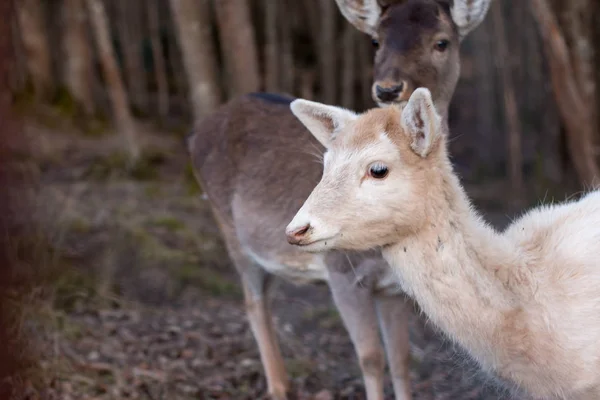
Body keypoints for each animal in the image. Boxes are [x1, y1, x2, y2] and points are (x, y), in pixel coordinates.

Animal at [189, 1, 492, 398]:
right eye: (376, 40)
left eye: (442, 42)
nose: (389, 89)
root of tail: (194, 133)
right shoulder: (340, 272)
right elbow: (371, 358)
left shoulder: (393, 289)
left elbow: (401, 360)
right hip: (228, 227)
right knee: (253, 302)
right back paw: (278, 386)